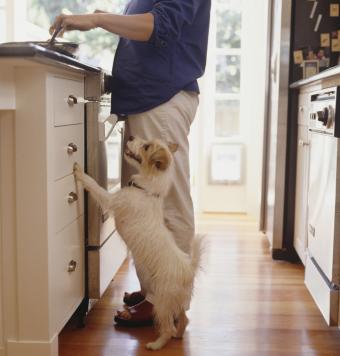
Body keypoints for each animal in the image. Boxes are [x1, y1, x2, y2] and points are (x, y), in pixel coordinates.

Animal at [73, 136, 202, 350]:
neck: (147, 190)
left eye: (146, 146)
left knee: (168, 327)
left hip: (162, 300)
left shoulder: (110, 200)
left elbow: (95, 186)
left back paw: (157, 344)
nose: (131, 137)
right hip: (178, 300)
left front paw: (79, 173)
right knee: (184, 320)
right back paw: (178, 336)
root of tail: (188, 269)